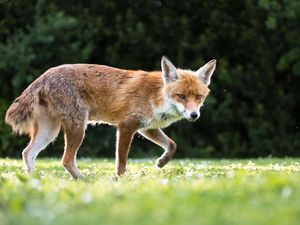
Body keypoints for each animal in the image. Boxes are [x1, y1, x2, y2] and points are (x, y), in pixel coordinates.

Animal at [5, 56, 216, 179]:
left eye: (198, 97)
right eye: (181, 96)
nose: (194, 115)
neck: (157, 95)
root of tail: (45, 75)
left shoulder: (146, 127)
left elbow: (172, 145)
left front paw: (162, 162)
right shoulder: (126, 126)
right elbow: (121, 161)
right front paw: (120, 181)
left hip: (50, 132)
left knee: (28, 153)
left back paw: (32, 181)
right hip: (78, 128)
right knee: (65, 160)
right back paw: (83, 180)